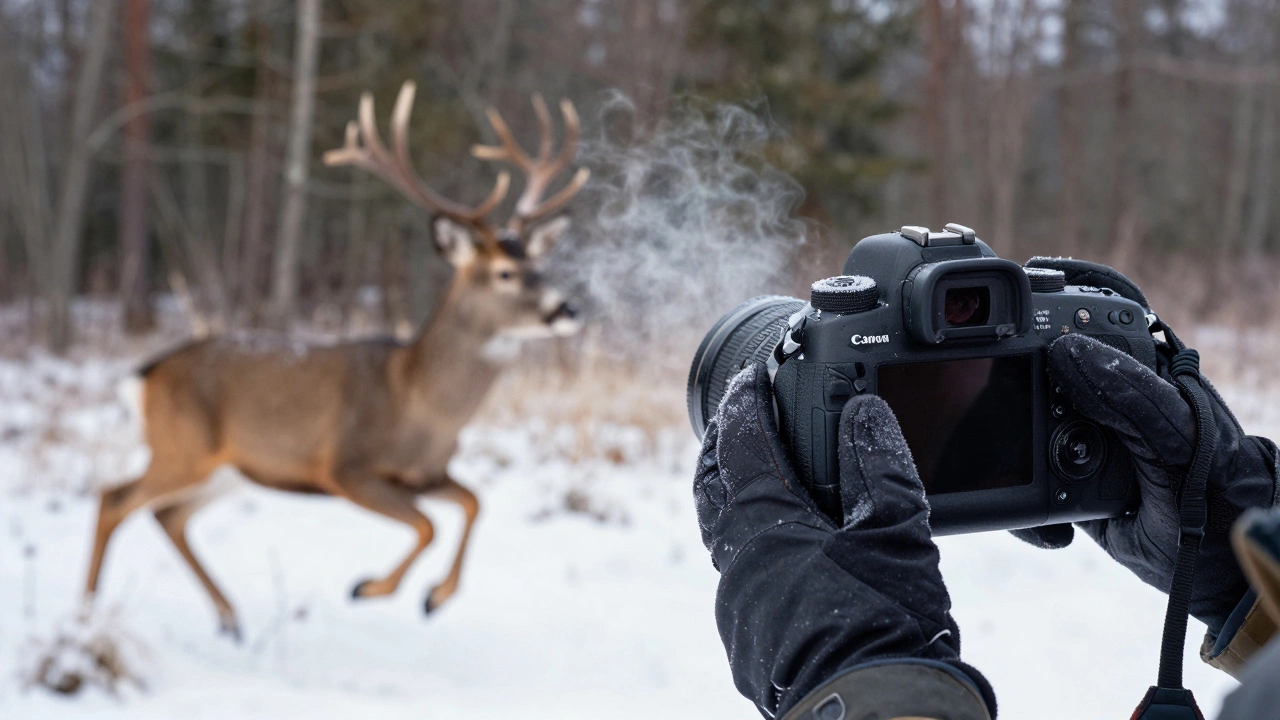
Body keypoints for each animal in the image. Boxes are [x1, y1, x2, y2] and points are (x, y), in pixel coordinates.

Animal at [83, 80, 591, 639]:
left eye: (540, 266)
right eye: (504, 273)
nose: (567, 309)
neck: (418, 403)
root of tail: (146, 374)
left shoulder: (429, 473)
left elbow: (474, 502)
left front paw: (434, 597)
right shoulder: (344, 467)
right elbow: (428, 524)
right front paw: (368, 588)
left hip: (226, 467)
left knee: (168, 517)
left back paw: (229, 618)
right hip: (181, 447)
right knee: (113, 499)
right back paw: (86, 611)